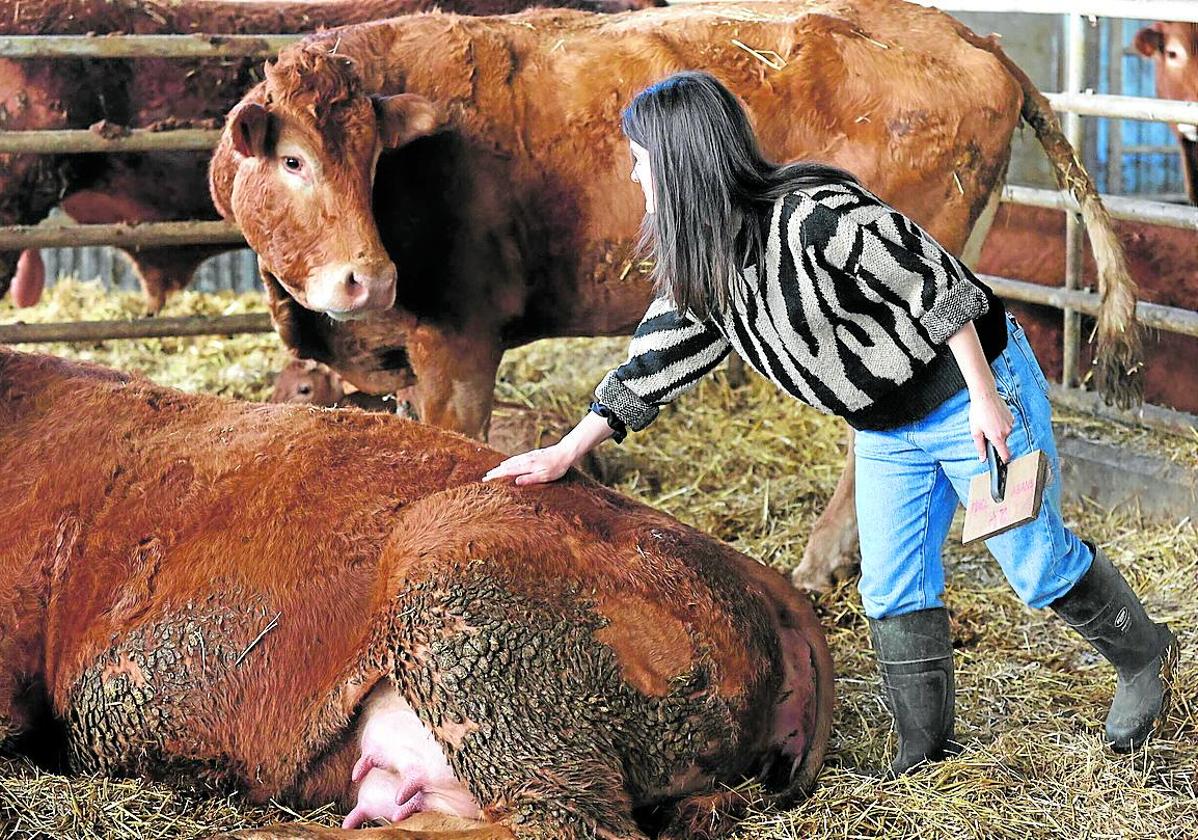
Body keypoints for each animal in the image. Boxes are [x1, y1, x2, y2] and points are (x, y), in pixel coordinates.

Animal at [210, 0, 1135, 589]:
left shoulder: (459, 346)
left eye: (371, 161)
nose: (371, 278)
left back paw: (821, 562)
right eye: (292, 159)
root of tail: (965, 32)